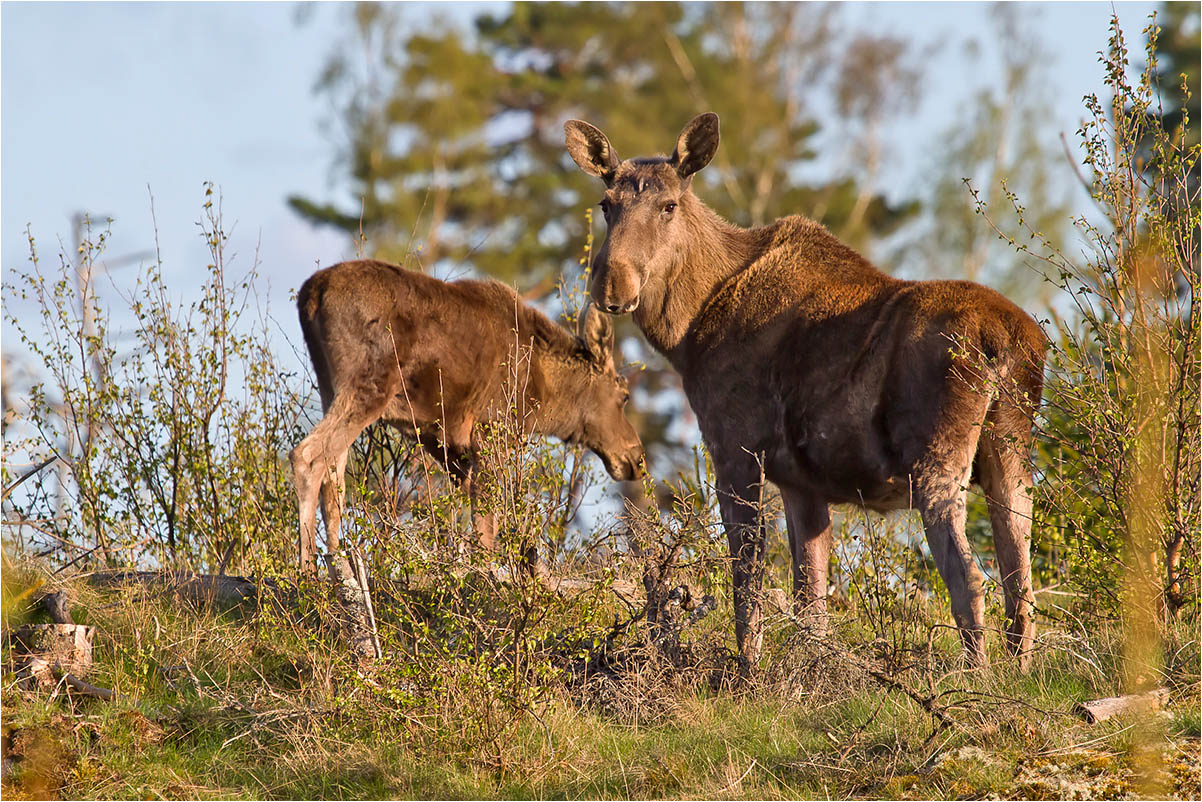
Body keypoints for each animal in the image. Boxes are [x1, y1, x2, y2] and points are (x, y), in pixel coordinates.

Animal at [288, 260, 649, 579]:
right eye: (624, 396)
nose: (636, 458)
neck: (544, 393)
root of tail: (311, 294)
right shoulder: (490, 429)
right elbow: (487, 523)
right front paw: (488, 576)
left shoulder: (444, 440)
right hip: (369, 383)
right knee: (307, 455)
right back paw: (307, 572)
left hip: (330, 385)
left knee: (333, 475)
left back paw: (338, 565)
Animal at [567, 110, 1048, 668]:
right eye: (606, 205)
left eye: (669, 205)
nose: (611, 285)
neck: (687, 331)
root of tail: (1009, 340)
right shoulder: (802, 483)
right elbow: (809, 600)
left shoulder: (735, 448)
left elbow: (748, 579)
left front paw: (749, 671)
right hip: (1010, 454)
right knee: (1019, 577)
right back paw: (1017, 672)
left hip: (937, 462)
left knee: (969, 576)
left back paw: (978, 678)